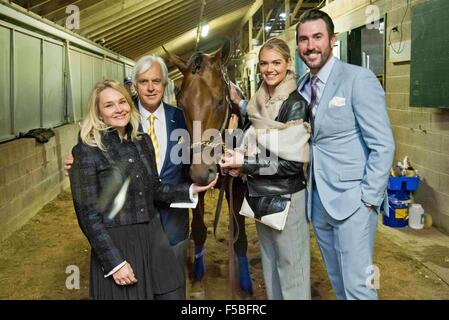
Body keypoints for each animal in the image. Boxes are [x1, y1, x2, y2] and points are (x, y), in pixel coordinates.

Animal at [164, 43, 252, 298]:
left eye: (220, 102)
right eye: (181, 102)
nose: (202, 172)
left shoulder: (237, 187)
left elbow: (239, 239)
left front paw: (244, 287)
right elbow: (199, 230)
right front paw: (197, 281)